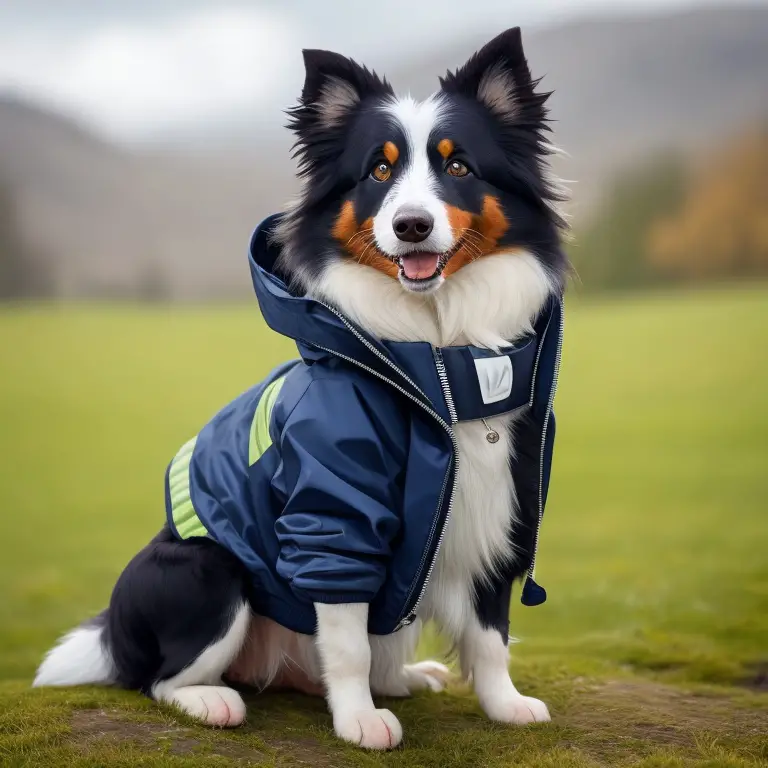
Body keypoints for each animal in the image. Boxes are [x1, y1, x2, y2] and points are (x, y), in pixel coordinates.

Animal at [33, 28, 568, 752]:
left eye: (458, 167)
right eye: (378, 173)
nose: (411, 226)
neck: (438, 359)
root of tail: (116, 637)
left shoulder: (503, 506)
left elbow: (489, 635)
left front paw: (504, 705)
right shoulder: (333, 518)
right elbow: (345, 641)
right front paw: (359, 721)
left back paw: (404, 677)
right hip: (209, 571)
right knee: (160, 680)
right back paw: (211, 699)